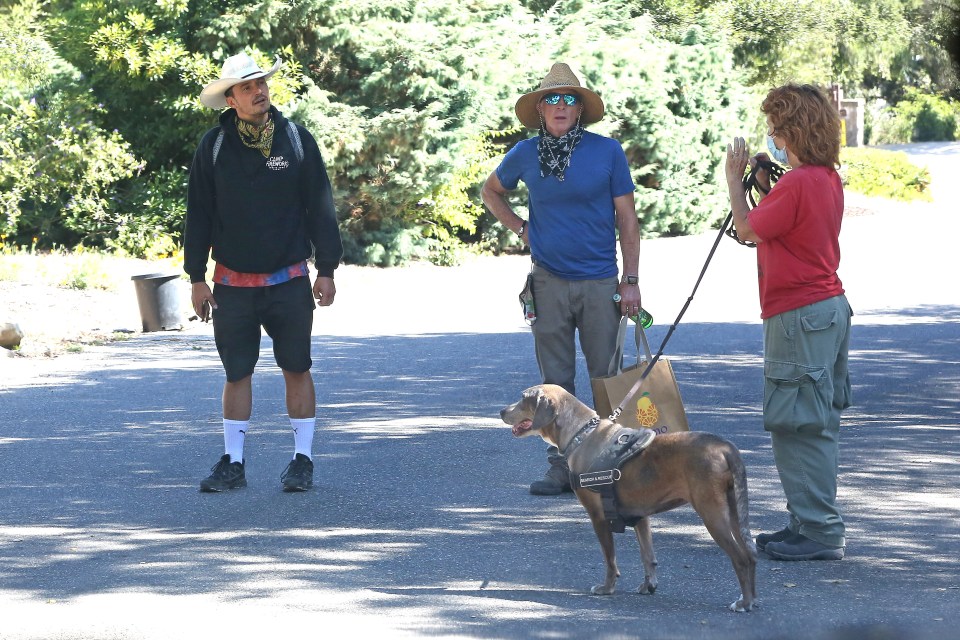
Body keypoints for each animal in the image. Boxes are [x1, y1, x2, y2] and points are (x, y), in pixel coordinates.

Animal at [502, 382, 756, 612]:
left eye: (523, 398)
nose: (502, 411)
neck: (580, 434)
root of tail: (725, 447)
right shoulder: (640, 516)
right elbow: (647, 556)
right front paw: (648, 585)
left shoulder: (599, 517)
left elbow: (610, 559)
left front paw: (607, 588)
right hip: (734, 512)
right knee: (751, 555)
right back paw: (751, 598)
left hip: (713, 515)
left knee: (741, 558)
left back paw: (743, 603)